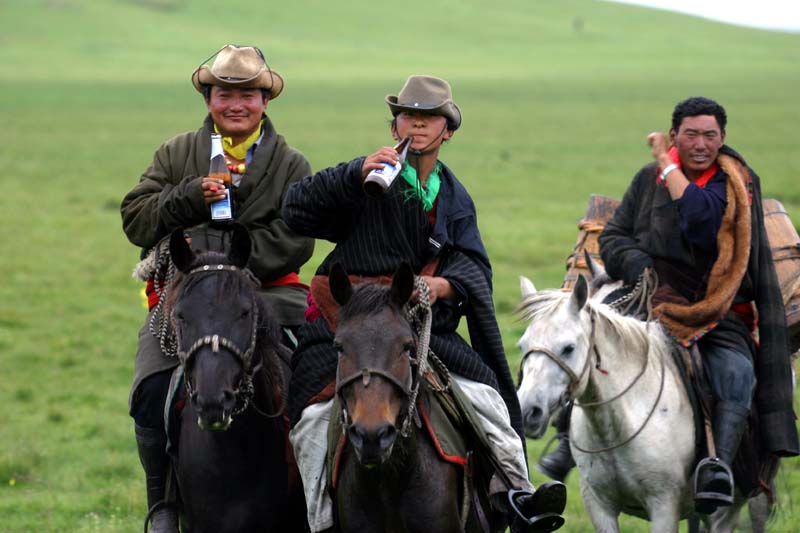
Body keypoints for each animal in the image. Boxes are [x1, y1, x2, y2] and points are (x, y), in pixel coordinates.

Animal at [516, 272, 760, 528]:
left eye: (568, 348)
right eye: (523, 346)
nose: (527, 411)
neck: (618, 425)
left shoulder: (664, 506)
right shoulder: (599, 505)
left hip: (727, 511)